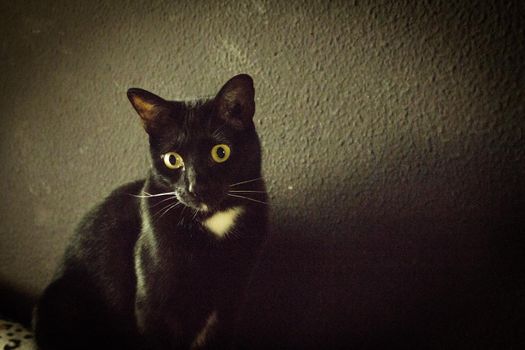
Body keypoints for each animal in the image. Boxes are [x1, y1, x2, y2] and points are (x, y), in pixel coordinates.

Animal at [33, 74, 266, 350]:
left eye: (221, 152)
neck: (213, 219)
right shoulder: (152, 305)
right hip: (61, 301)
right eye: (172, 159)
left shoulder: (230, 301)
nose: (196, 187)